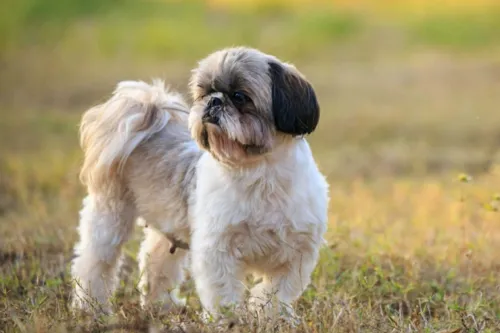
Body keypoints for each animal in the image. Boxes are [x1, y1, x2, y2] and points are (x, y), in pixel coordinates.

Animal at [70, 46, 328, 322]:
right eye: (203, 94)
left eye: (239, 96)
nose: (213, 101)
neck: (261, 174)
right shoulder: (217, 250)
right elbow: (223, 292)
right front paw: (227, 320)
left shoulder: (296, 254)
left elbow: (277, 292)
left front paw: (274, 318)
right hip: (110, 219)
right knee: (94, 264)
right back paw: (90, 308)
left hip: (166, 229)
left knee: (156, 262)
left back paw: (161, 305)